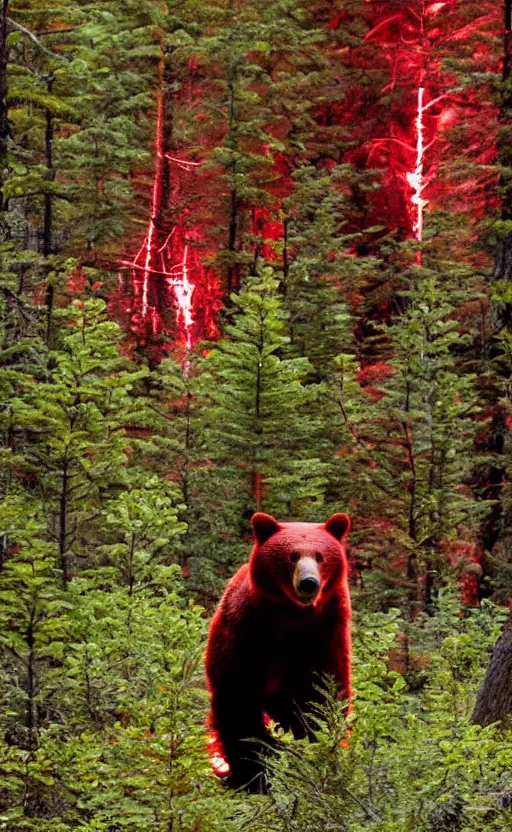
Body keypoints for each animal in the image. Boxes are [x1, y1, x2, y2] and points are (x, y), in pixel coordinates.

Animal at [204, 510, 352, 788]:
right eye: (292, 555)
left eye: (320, 555)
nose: (308, 582)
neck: (292, 617)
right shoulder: (249, 632)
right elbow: (239, 698)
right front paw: (255, 770)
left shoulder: (325, 635)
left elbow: (321, 696)